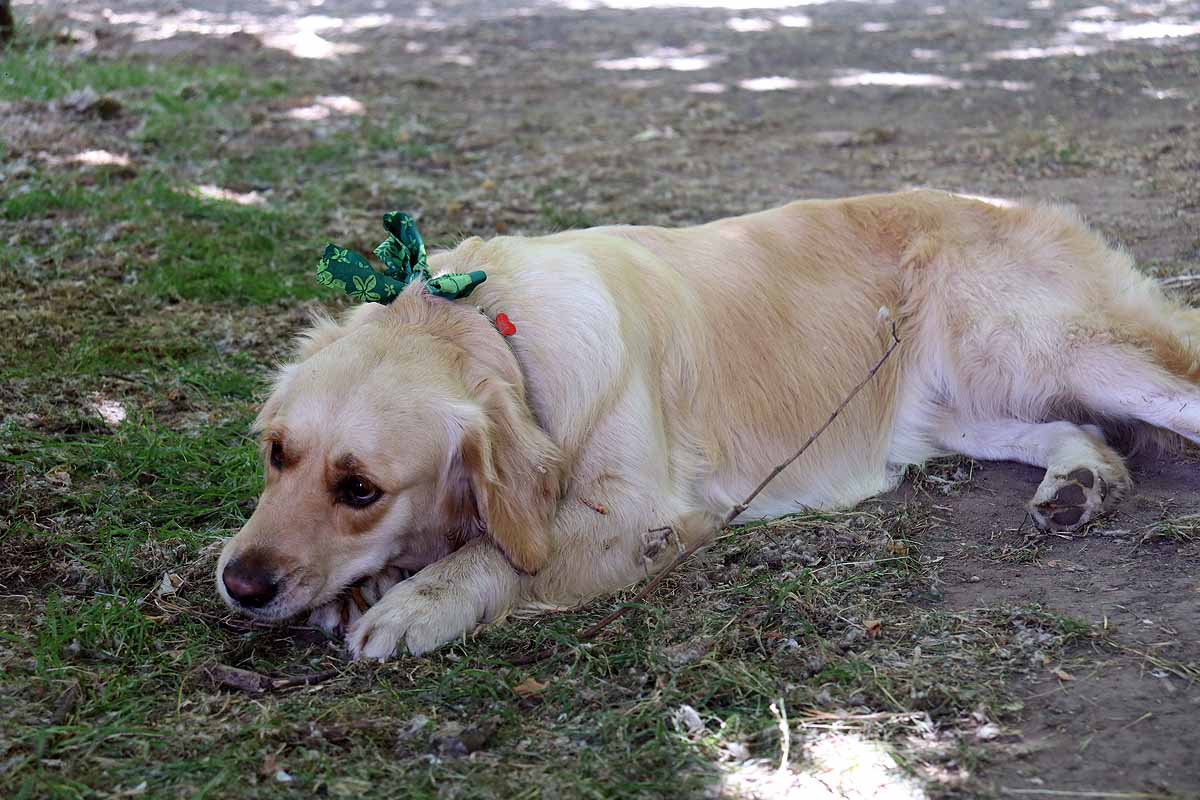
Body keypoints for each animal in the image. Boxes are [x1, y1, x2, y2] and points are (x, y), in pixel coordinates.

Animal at [216, 190, 1200, 662]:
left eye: (360, 488)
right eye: (276, 455)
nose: (240, 585)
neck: (491, 325)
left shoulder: (642, 517)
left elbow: (498, 550)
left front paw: (415, 604)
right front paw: (367, 587)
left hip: (1045, 342)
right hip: (962, 401)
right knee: (1075, 430)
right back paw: (1078, 484)